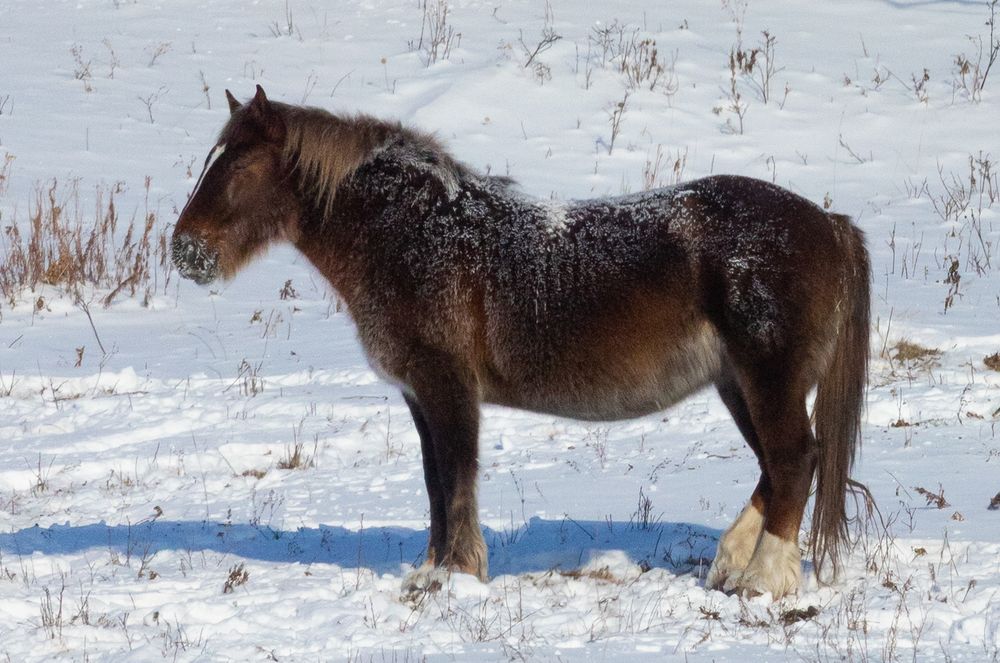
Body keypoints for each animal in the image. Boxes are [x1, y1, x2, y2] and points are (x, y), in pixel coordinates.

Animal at [172, 85, 870, 599]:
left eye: (240, 165)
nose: (185, 252)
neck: (417, 234)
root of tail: (828, 223)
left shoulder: (448, 388)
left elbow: (456, 479)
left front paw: (458, 575)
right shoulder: (420, 397)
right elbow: (435, 483)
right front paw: (434, 571)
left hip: (768, 379)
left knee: (793, 460)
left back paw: (761, 581)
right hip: (737, 384)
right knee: (782, 465)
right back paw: (730, 564)